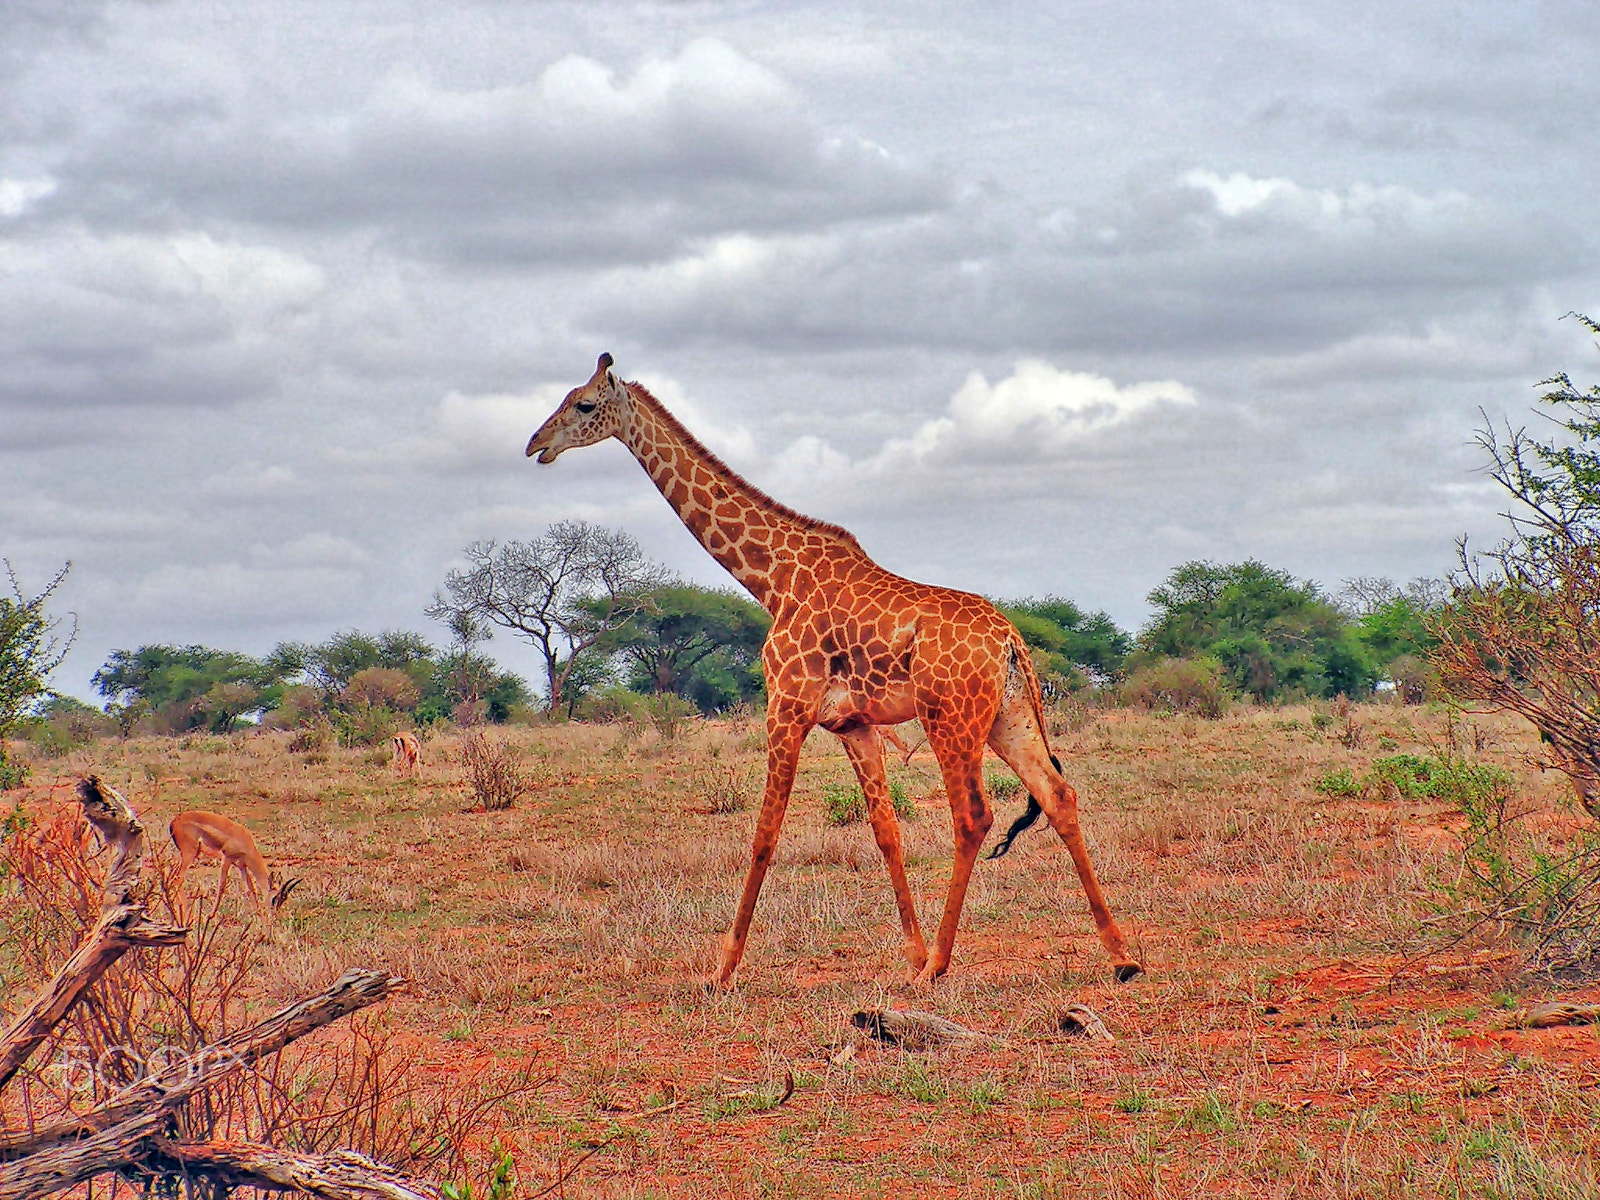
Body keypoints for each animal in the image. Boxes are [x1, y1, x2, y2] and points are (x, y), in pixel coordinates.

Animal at [172, 812, 300, 928]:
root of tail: (175, 821)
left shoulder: (242, 866)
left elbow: (252, 890)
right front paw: (211, 918)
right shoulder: (227, 858)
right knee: (177, 879)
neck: (247, 843)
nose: (274, 916)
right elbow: (221, 887)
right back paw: (187, 918)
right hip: (190, 854)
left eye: (284, 900)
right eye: (275, 898)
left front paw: (263, 922)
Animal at [524, 350, 1139, 985]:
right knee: (1059, 796)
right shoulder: (853, 725)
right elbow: (885, 831)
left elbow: (764, 834)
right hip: (1007, 717)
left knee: (973, 816)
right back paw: (1120, 956)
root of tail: (1012, 641)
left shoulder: (786, 707)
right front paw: (909, 950)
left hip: (951, 719)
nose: (535, 444)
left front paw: (723, 968)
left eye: (584, 405)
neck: (772, 578)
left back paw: (940, 965)